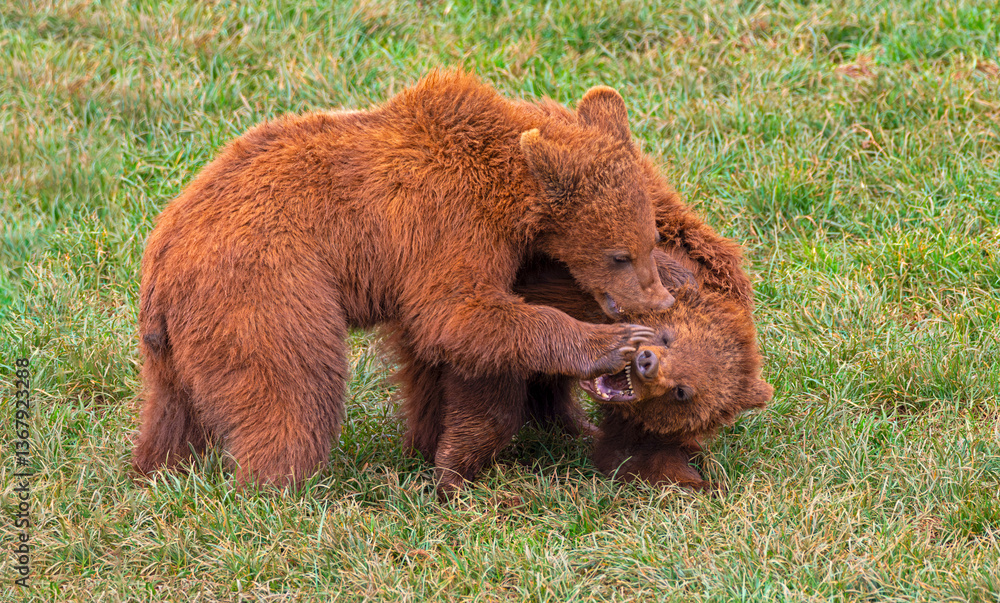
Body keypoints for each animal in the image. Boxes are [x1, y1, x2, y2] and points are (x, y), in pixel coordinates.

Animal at [132, 71, 679, 495]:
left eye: (651, 238)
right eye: (619, 255)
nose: (657, 300)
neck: (510, 190)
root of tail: (162, 256)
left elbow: (429, 353)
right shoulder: (448, 223)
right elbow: (458, 314)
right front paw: (616, 343)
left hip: (176, 342)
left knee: (172, 412)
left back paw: (158, 471)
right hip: (266, 287)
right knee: (294, 387)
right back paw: (280, 487)